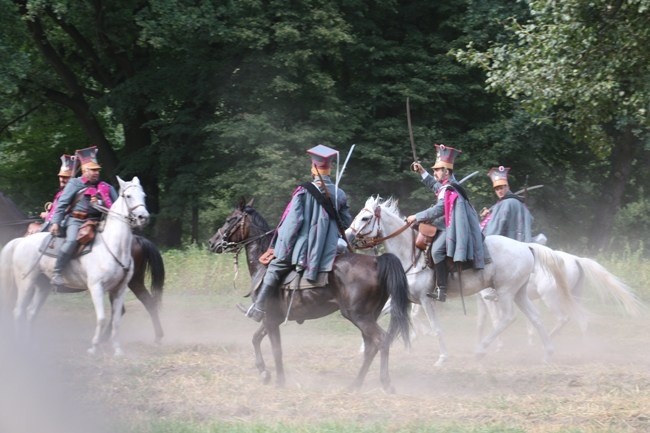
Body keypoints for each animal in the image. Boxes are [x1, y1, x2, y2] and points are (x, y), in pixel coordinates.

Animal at [0, 176, 148, 354]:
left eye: (143, 195)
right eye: (128, 196)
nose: (143, 217)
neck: (114, 247)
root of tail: (21, 241)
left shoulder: (119, 289)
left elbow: (116, 321)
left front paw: (117, 349)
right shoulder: (96, 287)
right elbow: (101, 317)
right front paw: (94, 347)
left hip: (42, 286)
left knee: (30, 312)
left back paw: (30, 345)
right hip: (26, 284)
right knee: (18, 311)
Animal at [209, 197, 410, 394]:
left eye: (230, 219)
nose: (212, 242)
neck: (263, 265)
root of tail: (376, 261)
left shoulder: (270, 319)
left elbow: (276, 349)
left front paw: (279, 381)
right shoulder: (272, 319)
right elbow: (256, 338)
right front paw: (264, 372)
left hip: (360, 317)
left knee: (381, 340)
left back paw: (385, 383)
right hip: (368, 317)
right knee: (370, 346)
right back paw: (355, 384)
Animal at [350, 195, 572, 362]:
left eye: (365, 218)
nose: (348, 235)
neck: (412, 254)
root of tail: (526, 246)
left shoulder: (425, 300)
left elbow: (436, 327)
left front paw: (442, 357)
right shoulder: (405, 297)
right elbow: (381, 317)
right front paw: (366, 346)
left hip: (505, 292)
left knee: (507, 317)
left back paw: (481, 349)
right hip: (519, 292)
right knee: (535, 317)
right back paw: (548, 352)